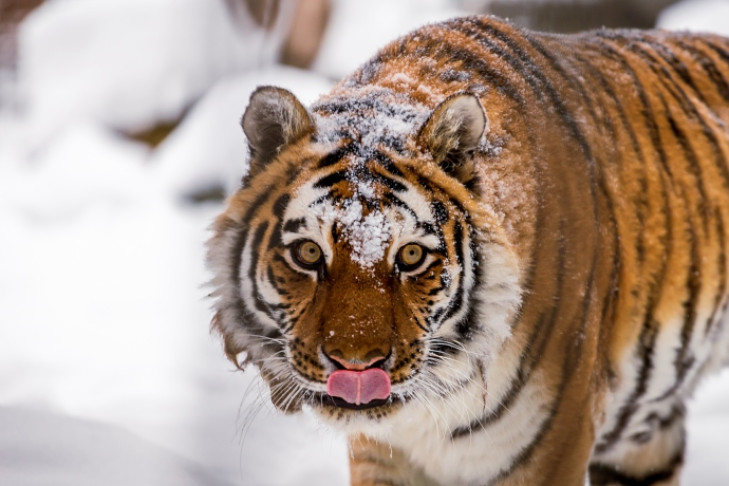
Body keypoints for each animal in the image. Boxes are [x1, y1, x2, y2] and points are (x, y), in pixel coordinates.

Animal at [203, 15, 728, 486]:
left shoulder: (552, 446)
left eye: (411, 257)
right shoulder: (382, 455)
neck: (436, 401)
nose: (356, 366)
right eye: (310, 254)